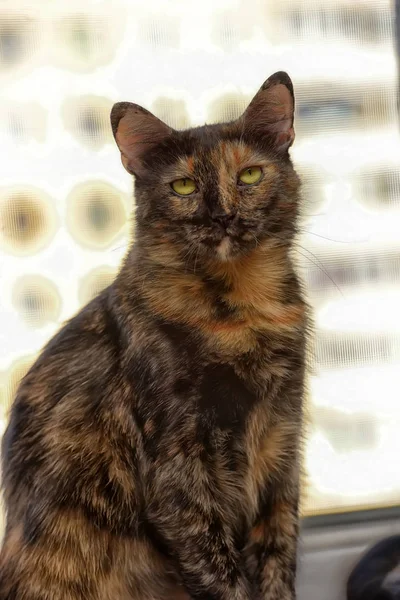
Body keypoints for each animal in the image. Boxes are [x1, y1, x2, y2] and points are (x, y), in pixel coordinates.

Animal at [0, 71, 306, 600]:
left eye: (249, 176)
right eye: (182, 185)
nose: (223, 216)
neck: (240, 311)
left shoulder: (281, 452)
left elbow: (276, 560)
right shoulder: (177, 475)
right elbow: (222, 575)